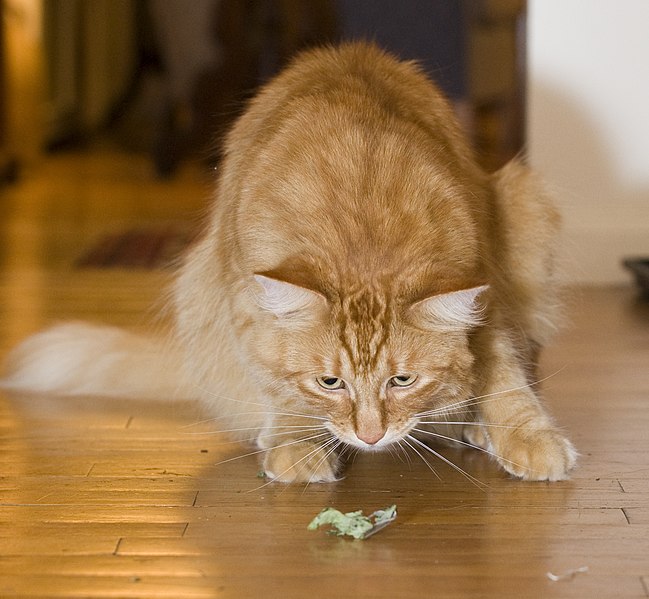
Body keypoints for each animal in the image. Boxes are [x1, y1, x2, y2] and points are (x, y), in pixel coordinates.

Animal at [1, 43, 576, 482]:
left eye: (402, 381)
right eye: (330, 383)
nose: (371, 436)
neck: (363, 232)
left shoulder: (489, 287)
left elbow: (505, 378)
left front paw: (528, 436)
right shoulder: (242, 300)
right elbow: (277, 382)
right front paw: (297, 444)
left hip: (525, 205)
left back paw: (467, 426)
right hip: (197, 285)